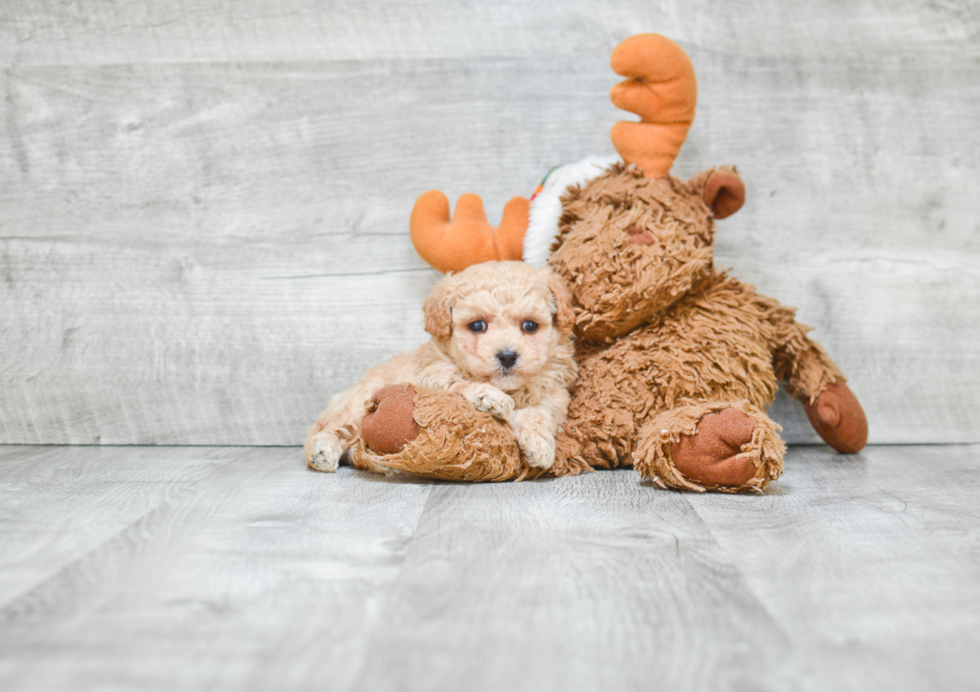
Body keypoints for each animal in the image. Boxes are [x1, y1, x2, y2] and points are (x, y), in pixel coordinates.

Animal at [306, 262, 580, 474]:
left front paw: (540, 445)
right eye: (477, 325)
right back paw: (322, 451)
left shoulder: (553, 397)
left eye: (530, 326)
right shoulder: (431, 373)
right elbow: (458, 382)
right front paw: (490, 396)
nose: (507, 355)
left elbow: (539, 414)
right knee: (328, 432)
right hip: (357, 403)